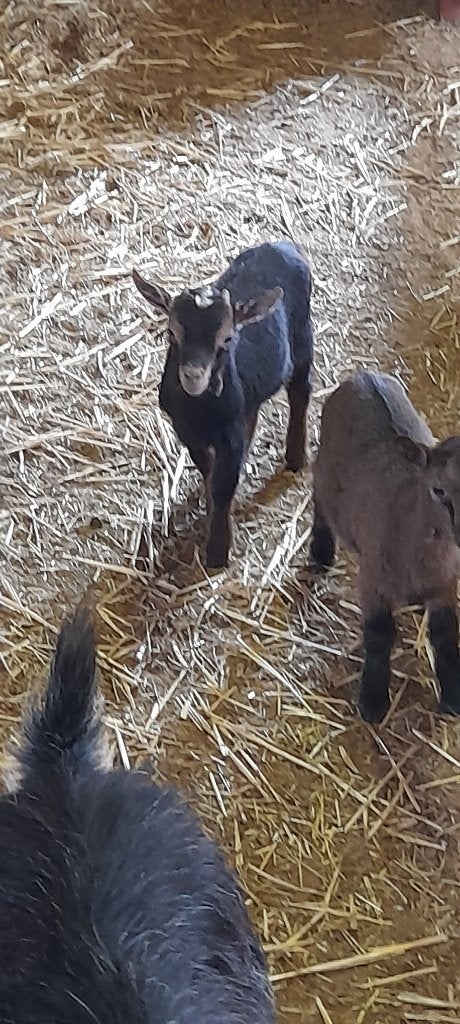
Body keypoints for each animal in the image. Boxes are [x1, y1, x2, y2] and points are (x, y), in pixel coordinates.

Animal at [133, 240, 314, 568]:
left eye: (227, 339)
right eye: (171, 333)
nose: (193, 376)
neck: (201, 412)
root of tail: (281, 245)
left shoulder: (230, 434)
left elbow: (224, 483)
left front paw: (218, 550)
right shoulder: (187, 431)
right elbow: (208, 471)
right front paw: (209, 508)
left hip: (303, 334)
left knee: (300, 389)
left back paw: (296, 456)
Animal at [309, 370, 460, 723]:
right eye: (438, 490)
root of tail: (363, 375)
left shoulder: (446, 584)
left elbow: (445, 634)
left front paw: (453, 696)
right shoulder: (372, 579)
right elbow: (379, 634)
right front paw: (373, 701)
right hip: (325, 467)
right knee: (318, 494)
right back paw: (320, 551)